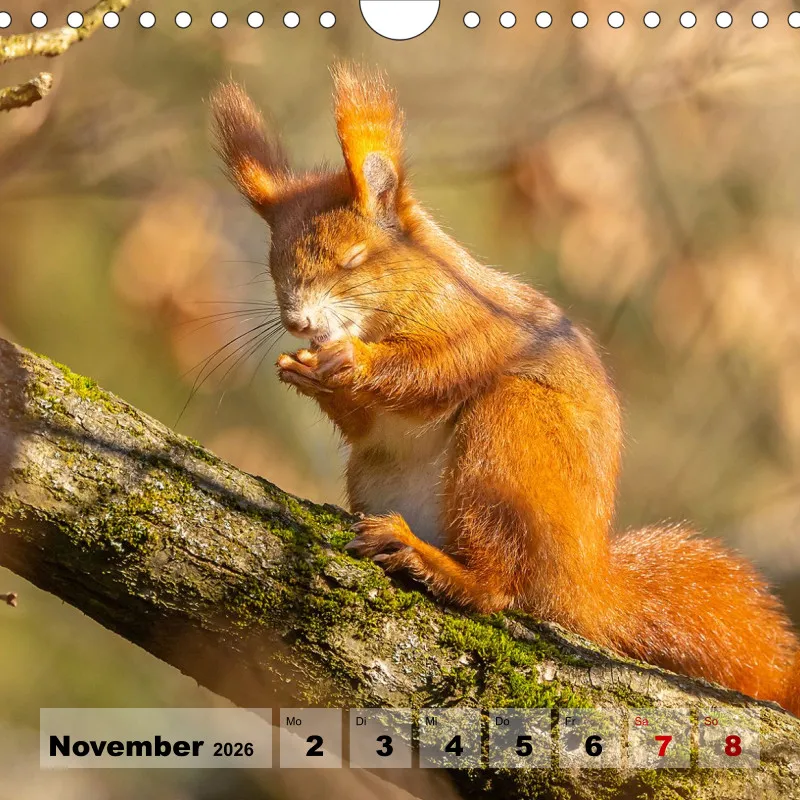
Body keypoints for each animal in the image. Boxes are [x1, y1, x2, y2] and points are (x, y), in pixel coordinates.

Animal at [210, 64, 800, 716]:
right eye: (273, 266)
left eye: (355, 258)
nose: (298, 322)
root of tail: (580, 582)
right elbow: (365, 421)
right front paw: (301, 369)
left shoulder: (484, 328)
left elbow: (435, 369)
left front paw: (352, 360)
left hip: (511, 439)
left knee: (499, 586)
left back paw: (433, 562)